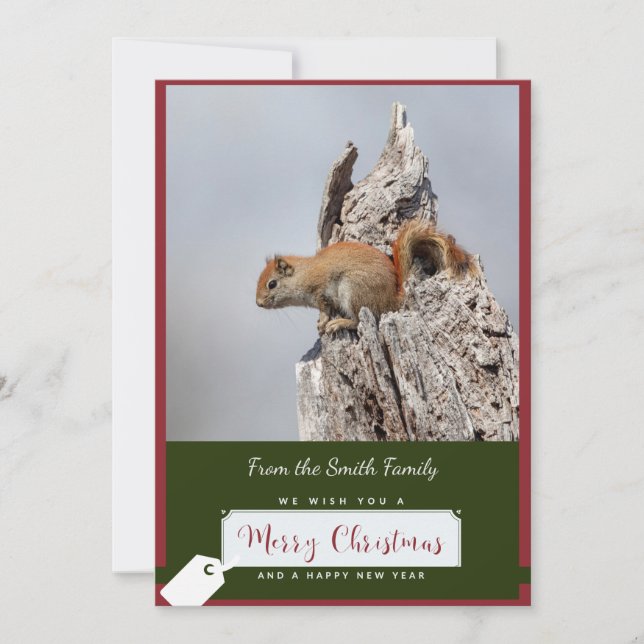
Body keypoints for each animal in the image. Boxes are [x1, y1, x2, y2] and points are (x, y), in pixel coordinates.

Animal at [256, 218, 479, 335]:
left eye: (272, 284)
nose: (258, 303)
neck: (303, 274)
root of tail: (391, 299)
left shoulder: (320, 291)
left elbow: (325, 309)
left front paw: (323, 322)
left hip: (353, 291)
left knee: (358, 320)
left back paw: (340, 323)